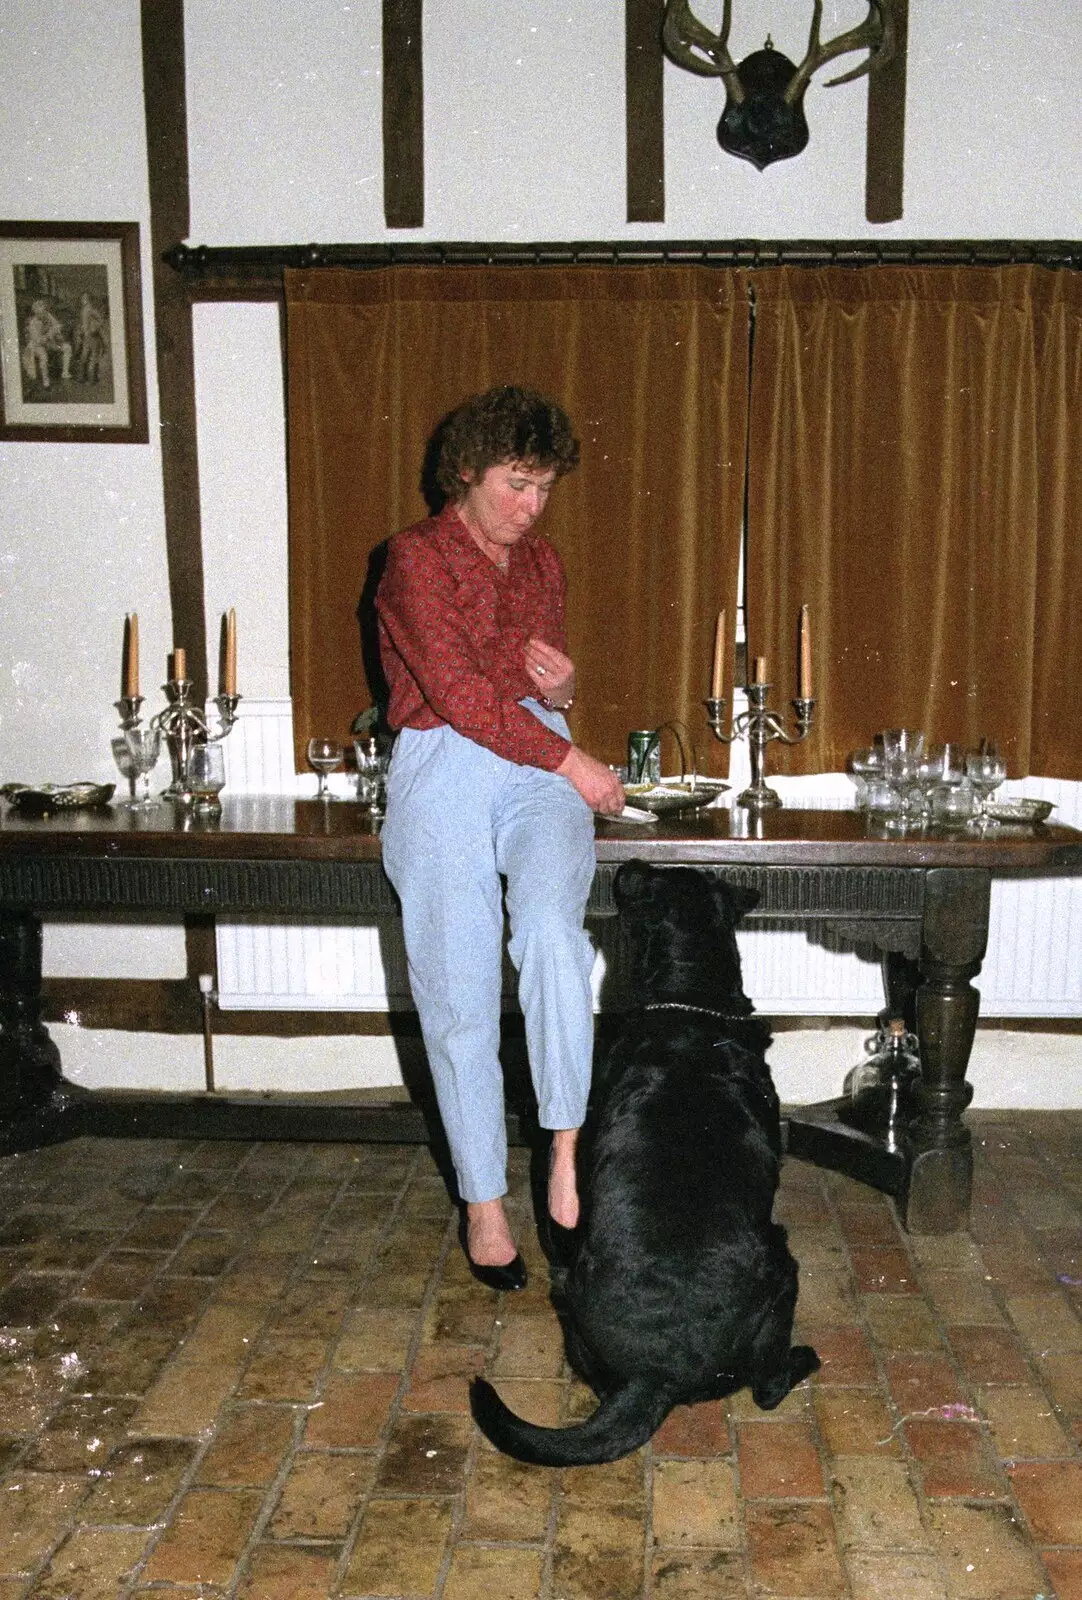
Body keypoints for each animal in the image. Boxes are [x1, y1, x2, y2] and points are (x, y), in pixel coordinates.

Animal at [470, 864, 816, 1465]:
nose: (629, 864)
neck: (689, 1004)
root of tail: (656, 1374)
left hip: (568, 1293)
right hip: (783, 1268)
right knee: (769, 1385)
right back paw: (804, 1359)